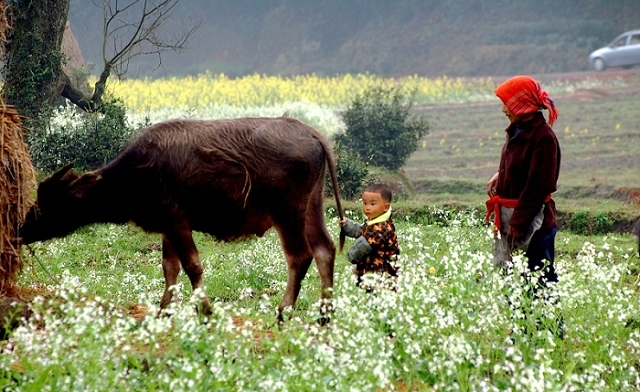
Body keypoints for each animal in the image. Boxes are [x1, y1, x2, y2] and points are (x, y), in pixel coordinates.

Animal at [20, 115, 344, 322]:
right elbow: (170, 269)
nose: (23, 228)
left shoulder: (177, 221)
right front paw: (163, 311)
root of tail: (313, 134)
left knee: (300, 256)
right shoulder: (167, 226)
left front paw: (205, 311)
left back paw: (283, 312)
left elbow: (192, 267)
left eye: (51, 203)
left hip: (287, 212)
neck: (137, 174)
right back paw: (324, 315)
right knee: (324, 250)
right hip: (312, 206)